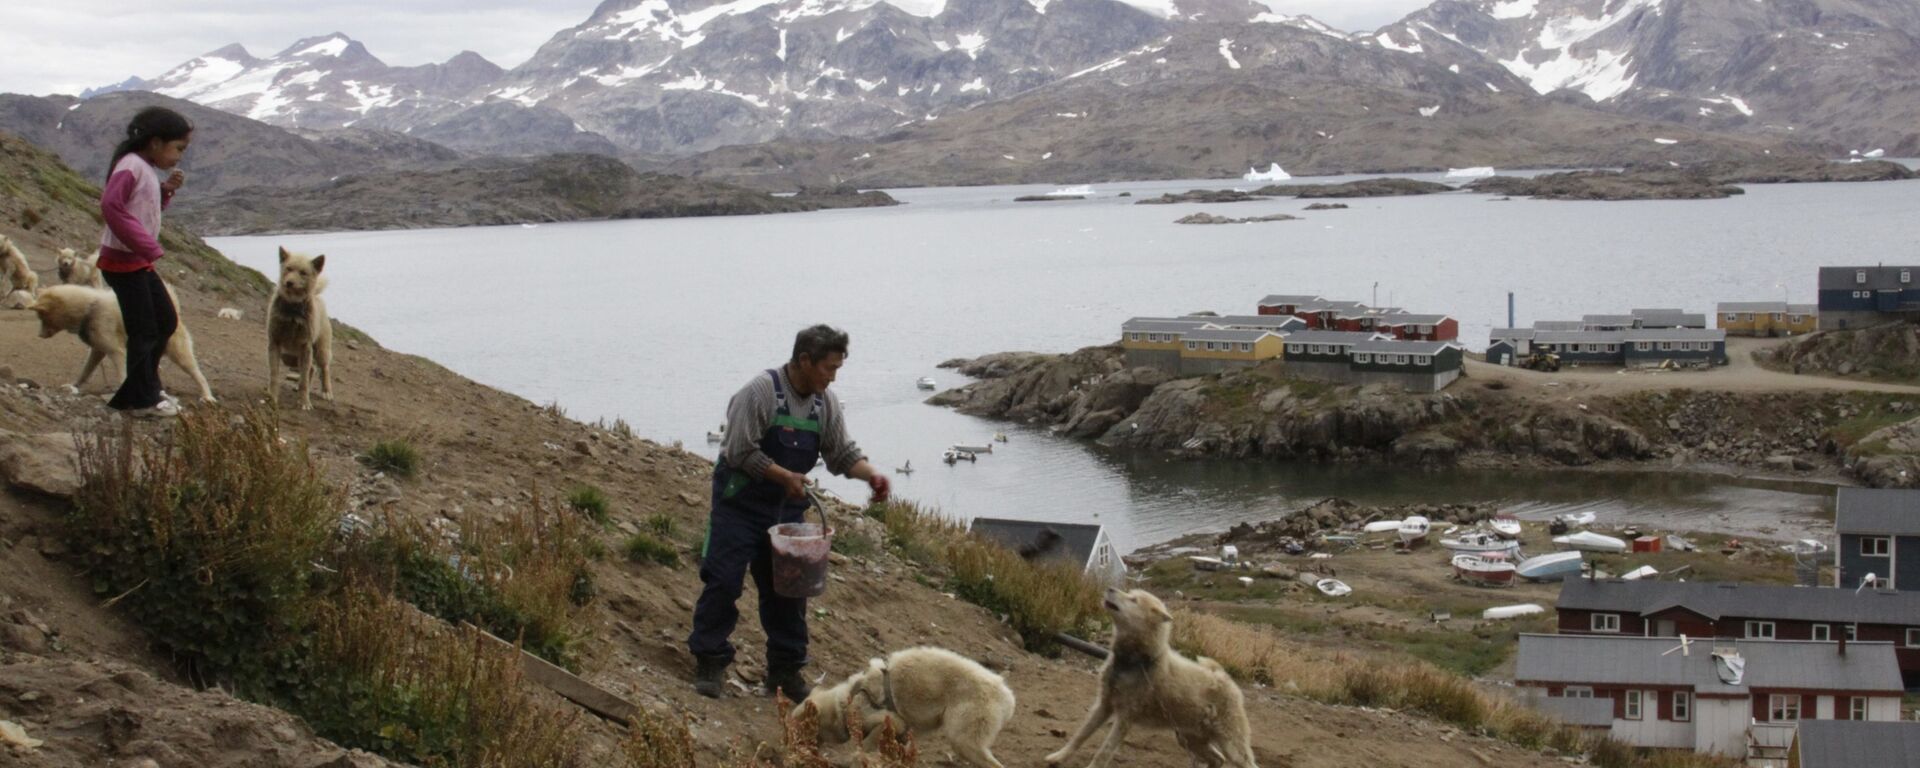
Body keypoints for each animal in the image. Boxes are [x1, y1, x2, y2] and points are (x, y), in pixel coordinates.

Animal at [27, 284, 216, 401]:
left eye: (41, 317)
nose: (39, 335)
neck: (89, 309)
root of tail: (174, 310)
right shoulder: (98, 351)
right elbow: (85, 372)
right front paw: (74, 385)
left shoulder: (116, 351)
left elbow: (121, 375)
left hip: (180, 355)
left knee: (200, 376)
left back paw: (207, 396)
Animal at [266, 249, 334, 410]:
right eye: (288, 268)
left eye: (303, 273)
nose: (289, 283)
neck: (292, 311)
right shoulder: (274, 343)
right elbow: (274, 374)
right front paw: (272, 397)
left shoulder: (305, 346)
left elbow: (304, 380)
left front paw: (304, 403)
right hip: (290, 357)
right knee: (311, 369)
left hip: (320, 350)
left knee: (323, 368)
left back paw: (326, 391)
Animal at [798, 648, 1021, 768]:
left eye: (800, 725)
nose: (794, 747)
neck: (849, 701)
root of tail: (1007, 697)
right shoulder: (901, 736)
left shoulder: (889, 722)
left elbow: (861, 749)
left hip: (963, 740)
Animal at [1052, 591, 1259, 768]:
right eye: (1129, 593)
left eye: (1134, 600)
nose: (1110, 588)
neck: (1133, 660)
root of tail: (1224, 678)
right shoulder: (1104, 705)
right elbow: (1080, 735)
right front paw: (1058, 757)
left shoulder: (1125, 717)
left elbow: (1104, 751)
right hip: (1190, 737)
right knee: (1217, 759)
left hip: (1232, 745)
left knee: (1244, 763)